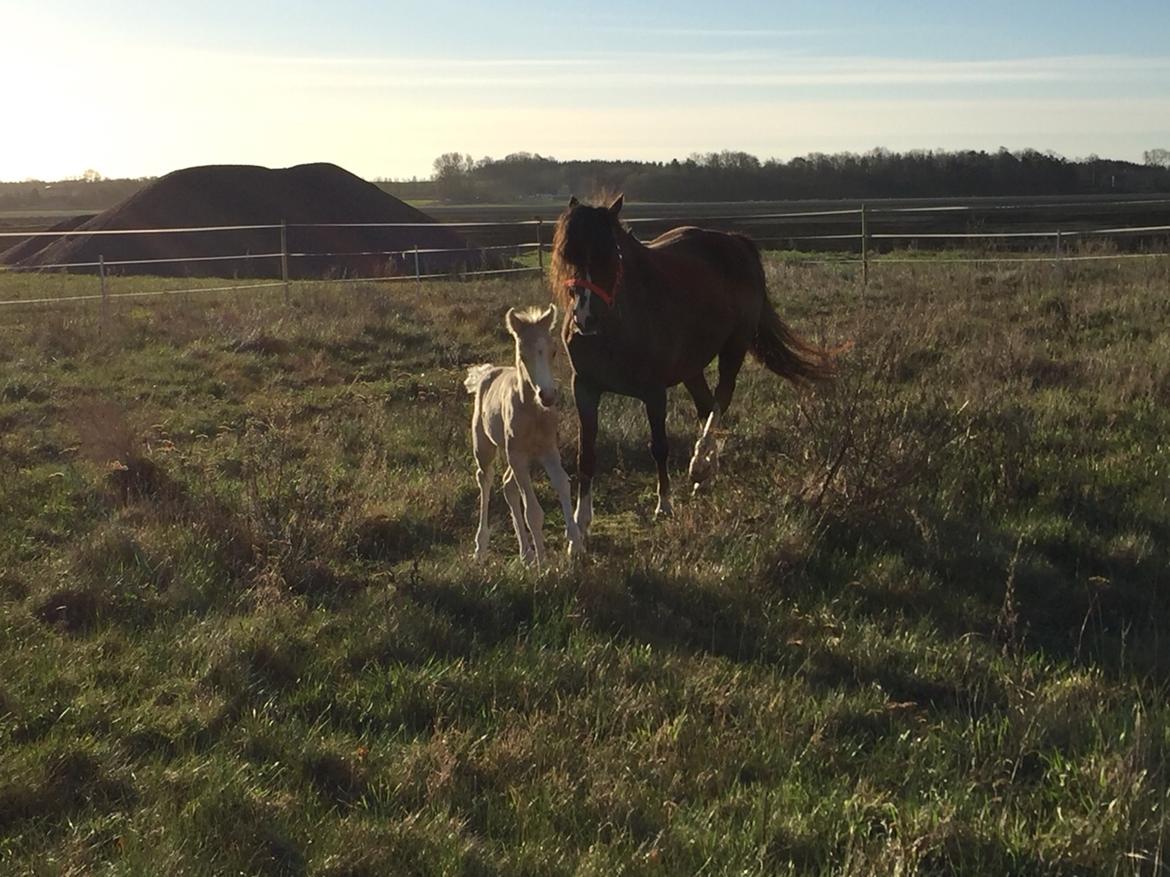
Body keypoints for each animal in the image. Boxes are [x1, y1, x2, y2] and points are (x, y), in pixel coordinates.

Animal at [464, 304, 584, 565]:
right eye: (523, 354)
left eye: (553, 351)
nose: (547, 396)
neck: (533, 413)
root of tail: (488, 372)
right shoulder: (518, 455)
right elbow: (533, 511)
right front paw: (544, 562)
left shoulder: (549, 450)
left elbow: (563, 483)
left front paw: (577, 545)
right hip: (485, 446)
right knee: (485, 479)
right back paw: (481, 548)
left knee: (508, 486)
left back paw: (525, 554)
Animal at [550, 194, 839, 539]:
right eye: (568, 254)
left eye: (611, 255)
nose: (586, 318)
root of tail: (735, 242)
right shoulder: (585, 388)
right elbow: (586, 454)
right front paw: (579, 524)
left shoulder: (654, 392)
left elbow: (659, 446)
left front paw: (664, 505)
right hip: (691, 368)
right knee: (707, 405)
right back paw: (706, 470)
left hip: (734, 348)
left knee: (721, 399)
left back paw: (700, 464)